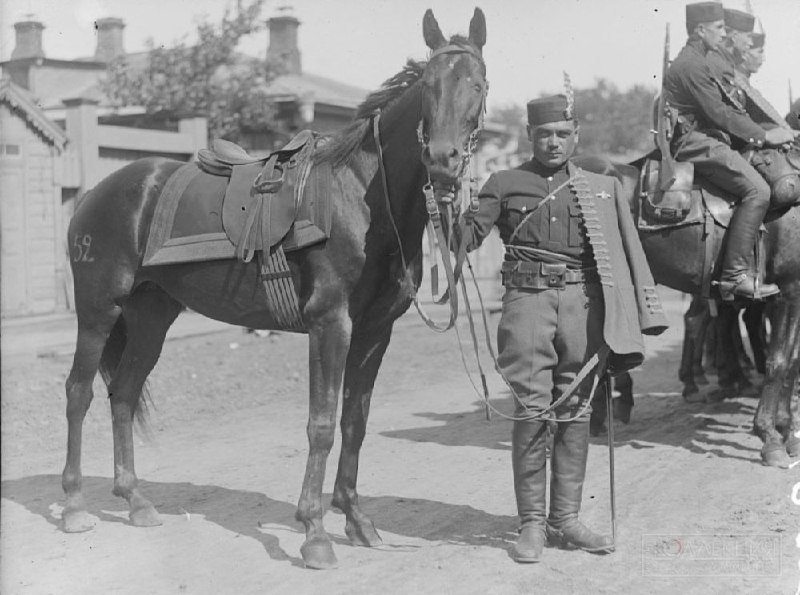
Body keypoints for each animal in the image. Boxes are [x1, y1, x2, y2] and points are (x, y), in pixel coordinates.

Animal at [61, 9, 488, 568]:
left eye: (478, 85)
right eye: (428, 87)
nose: (442, 159)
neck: (363, 196)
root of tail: (96, 193)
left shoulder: (375, 331)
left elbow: (355, 420)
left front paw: (356, 520)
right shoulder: (330, 324)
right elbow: (322, 424)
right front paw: (315, 533)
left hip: (151, 317)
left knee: (124, 396)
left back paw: (135, 501)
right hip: (98, 311)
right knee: (78, 394)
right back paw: (73, 506)